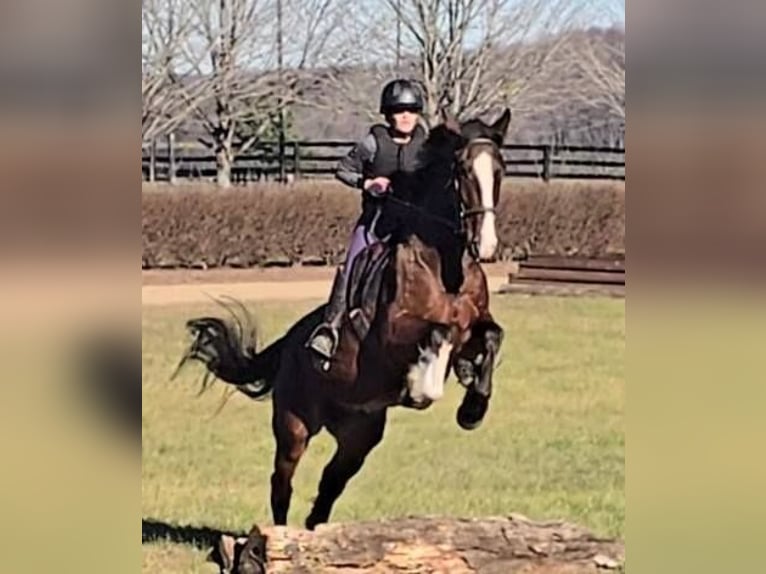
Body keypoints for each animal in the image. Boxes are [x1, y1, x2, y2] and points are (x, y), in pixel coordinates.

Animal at [173, 109, 511, 530]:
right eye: (462, 170)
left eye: (499, 169)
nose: (486, 246)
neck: (447, 266)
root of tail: (289, 342)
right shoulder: (391, 332)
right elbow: (438, 330)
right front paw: (425, 386)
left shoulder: (477, 323)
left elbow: (493, 335)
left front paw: (471, 407)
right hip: (294, 424)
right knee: (282, 482)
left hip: (358, 436)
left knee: (330, 484)